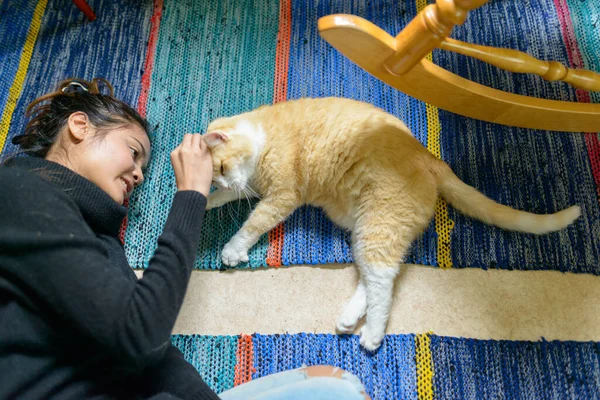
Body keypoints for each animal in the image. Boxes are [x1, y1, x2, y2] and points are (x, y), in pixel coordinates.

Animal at [203, 96, 580, 350]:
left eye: (220, 168)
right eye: (216, 176)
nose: (222, 183)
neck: (262, 136)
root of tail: (431, 159)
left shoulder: (281, 196)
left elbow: (253, 223)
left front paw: (232, 248)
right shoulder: (254, 188)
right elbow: (232, 198)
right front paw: (207, 199)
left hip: (379, 225)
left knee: (383, 280)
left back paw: (372, 334)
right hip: (366, 228)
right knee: (376, 276)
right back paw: (352, 317)